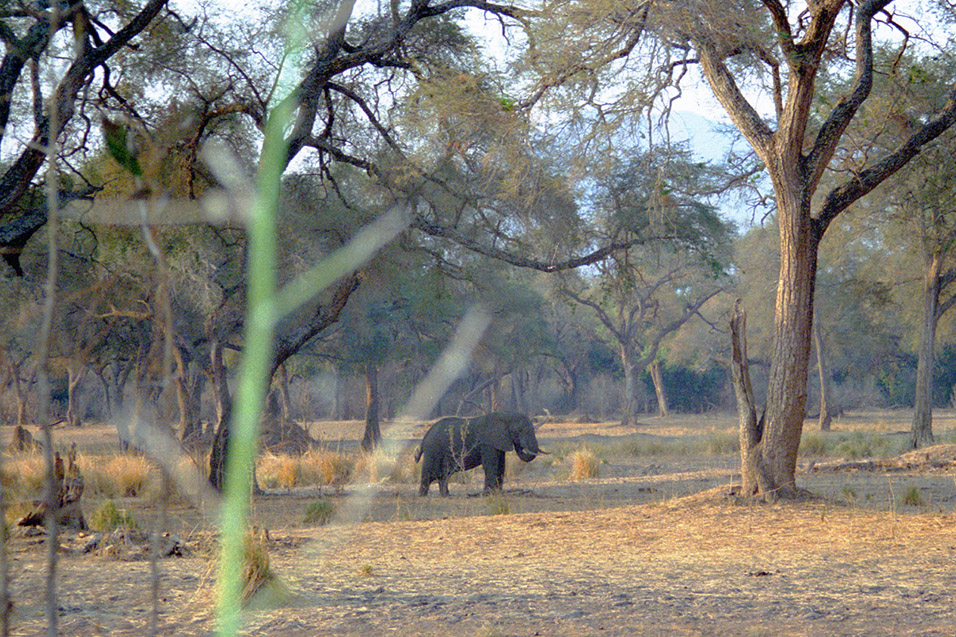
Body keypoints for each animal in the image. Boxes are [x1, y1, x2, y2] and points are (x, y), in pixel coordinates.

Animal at [410, 410, 544, 494]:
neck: (505, 414)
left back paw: (446, 495)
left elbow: (501, 465)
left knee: (444, 474)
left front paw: (497, 492)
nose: (520, 445)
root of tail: (424, 438)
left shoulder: (497, 441)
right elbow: (491, 464)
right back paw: (422, 495)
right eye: (519, 430)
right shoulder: (487, 442)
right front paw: (489, 493)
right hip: (433, 451)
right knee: (428, 473)